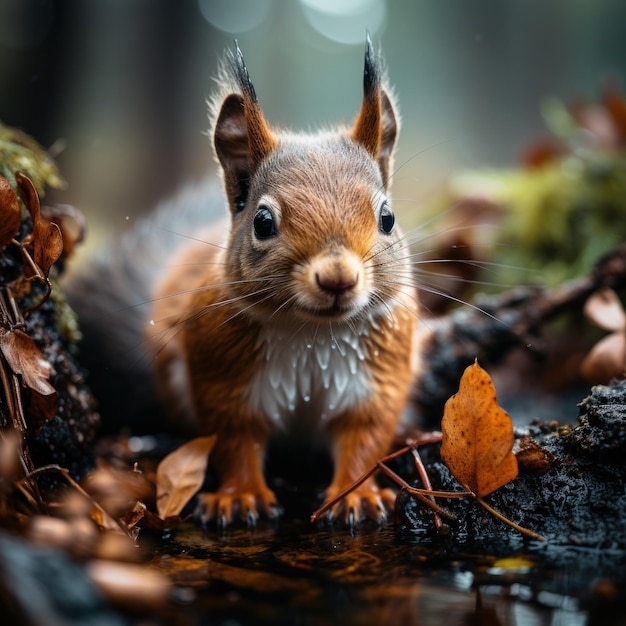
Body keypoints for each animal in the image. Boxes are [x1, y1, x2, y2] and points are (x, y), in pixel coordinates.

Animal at [67, 36, 420, 528]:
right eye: (263, 221)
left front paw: (358, 496)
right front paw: (240, 497)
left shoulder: (376, 380)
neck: (312, 332)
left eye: (387, 218)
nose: (338, 278)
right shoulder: (223, 378)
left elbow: (364, 441)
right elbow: (235, 441)